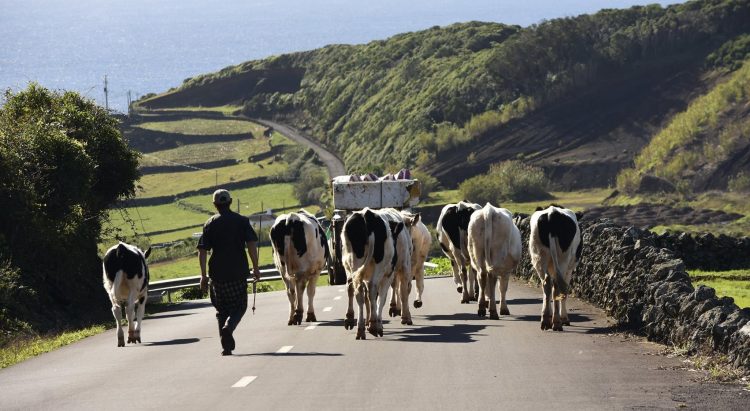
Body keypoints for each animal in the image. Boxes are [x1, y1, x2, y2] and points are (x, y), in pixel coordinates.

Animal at [342, 208, 400, 340]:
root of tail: (366, 214)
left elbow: (365, 297)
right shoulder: (388, 275)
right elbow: (381, 299)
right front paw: (377, 324)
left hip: (353, 264)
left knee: (355, 290)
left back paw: (357, 326)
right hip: (379, 268)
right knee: (372, 290)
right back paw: (374, 326)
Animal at [532, 204, 584, 334]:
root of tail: (552, 212)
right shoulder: (569, 270)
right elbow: (564, 292)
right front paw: (564, 318)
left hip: (539, 257)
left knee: (546, 284)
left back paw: (546, 321)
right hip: (563, 260)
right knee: (557, 286)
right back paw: (557, 322)